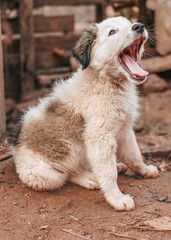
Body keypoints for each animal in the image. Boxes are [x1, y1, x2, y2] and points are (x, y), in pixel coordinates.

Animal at [13, 17, 159, 210]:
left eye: (129, 23)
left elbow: (135, 156)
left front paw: (146, 170)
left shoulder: (125, 129)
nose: (139, 26)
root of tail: (15, 147)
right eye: (112, 32)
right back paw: (89, 178)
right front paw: (116, 198)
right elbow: (108, 173)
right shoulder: (99, 136)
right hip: (41, 175)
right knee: (66, 174)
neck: (108, 82)